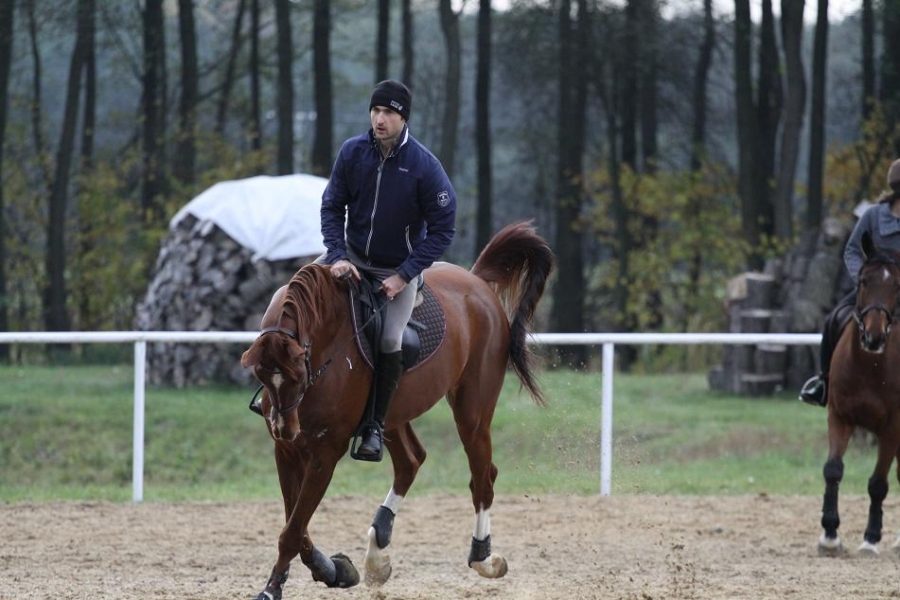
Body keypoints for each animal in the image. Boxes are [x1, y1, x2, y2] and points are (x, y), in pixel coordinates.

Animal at [240, 221, 554, 598]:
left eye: (299, 374)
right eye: (261, 375)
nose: (284, 428)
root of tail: (476, 282)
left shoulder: (325, 453)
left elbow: (293, 529)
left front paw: (274, 588)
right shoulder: (286, 452)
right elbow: (296, 526)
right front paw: (333, 570)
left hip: (472, 412)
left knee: (483, 476)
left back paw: (483, 557)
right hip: (391, 417)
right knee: (411, 461)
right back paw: (377, 550)